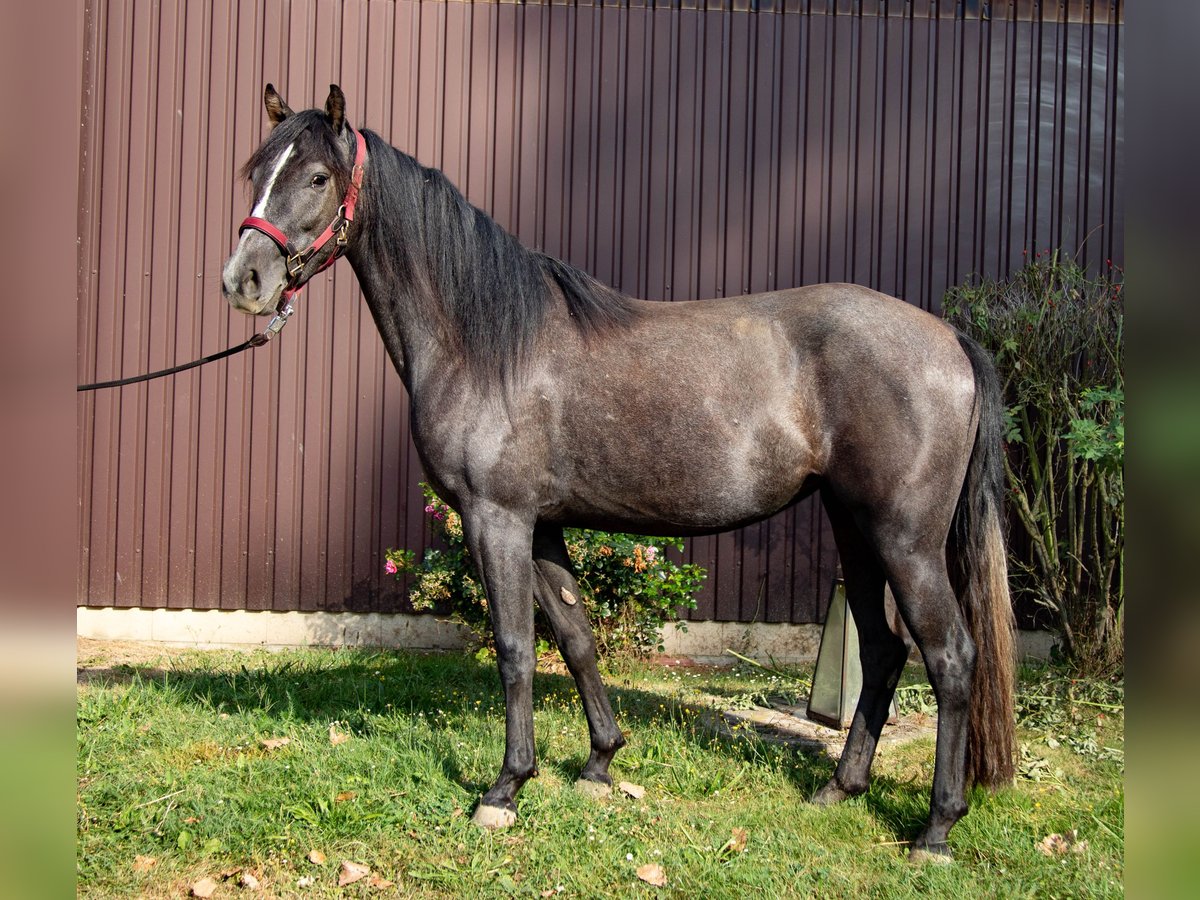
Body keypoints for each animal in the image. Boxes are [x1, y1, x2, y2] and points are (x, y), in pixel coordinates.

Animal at [223, 86, 1012, 868]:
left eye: (317, 177)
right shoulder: (541, 525)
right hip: (856, 527)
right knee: (883, 651)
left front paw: (505, 789)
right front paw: (600, 762)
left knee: (950, 657)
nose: (243, 280)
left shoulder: (495, 518)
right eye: (256, 170)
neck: (486, 343)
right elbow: (575, 638)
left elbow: (515, 648)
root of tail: (951, 340)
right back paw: (839, 789)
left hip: (905, 541)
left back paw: (936, 830)